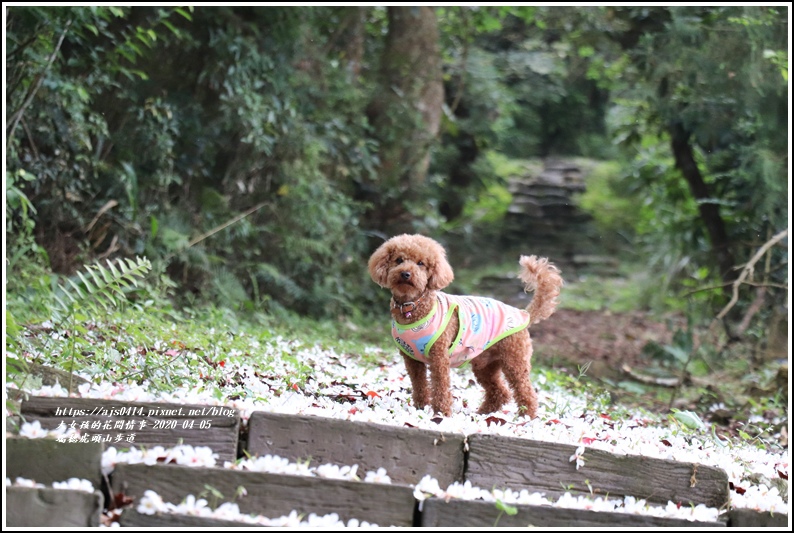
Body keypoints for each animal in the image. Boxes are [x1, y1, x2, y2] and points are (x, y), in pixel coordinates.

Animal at [368, 235, 560, 418]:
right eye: (399, 260)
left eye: (421, 263)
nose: (406, 274)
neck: (413, 306)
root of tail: (523, 314)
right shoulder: (411, 359)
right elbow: (419, 384)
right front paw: (420, 407)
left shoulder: (439, 357)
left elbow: (440, 386)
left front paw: (441, 412)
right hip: (485, 365)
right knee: (500, 391)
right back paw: (483, 413)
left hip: (514, 360)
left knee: (525, 390)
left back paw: (526, 416)